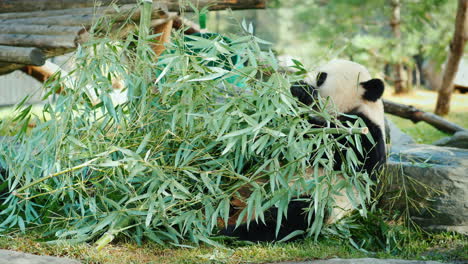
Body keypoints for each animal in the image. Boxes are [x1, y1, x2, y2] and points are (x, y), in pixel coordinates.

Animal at [221, 58, 386, 242]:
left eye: (322, 77)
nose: (300, 81)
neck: (358, 106)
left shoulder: (362, 136)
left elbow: (315, 143)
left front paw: (300, 94)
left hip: (319, 199)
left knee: (293, 216)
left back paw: (232, 232)